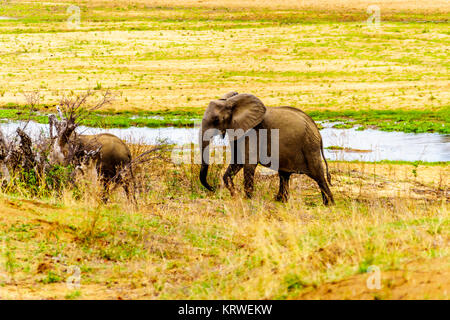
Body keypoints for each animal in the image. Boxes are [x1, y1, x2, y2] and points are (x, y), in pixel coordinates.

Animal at [200, 91, 334, 205]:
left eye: (216, 120)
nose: (213, 188)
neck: (231, 102)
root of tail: (317, 131)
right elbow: (237, 162)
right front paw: (235, 195)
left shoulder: (253, 132)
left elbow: (249, 164)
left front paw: (247, 199)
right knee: (284, 175)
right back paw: (280, 200)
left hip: (309, 146)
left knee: (318, 176)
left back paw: (329, 204)